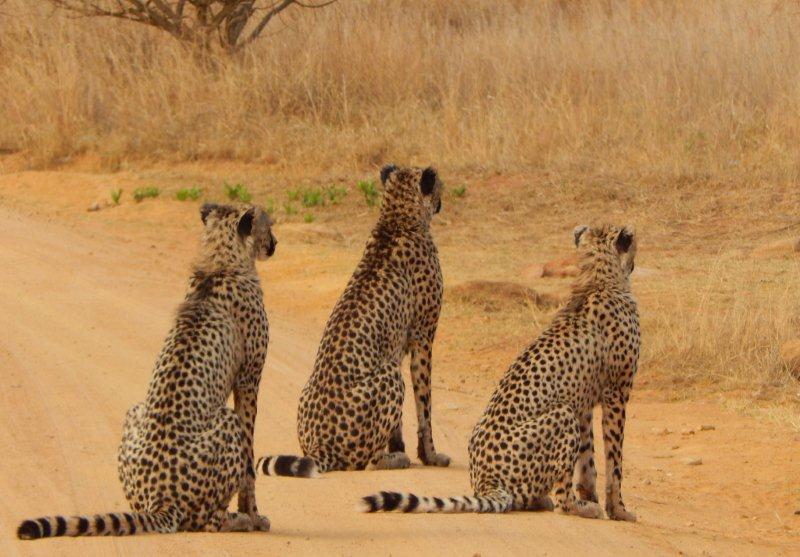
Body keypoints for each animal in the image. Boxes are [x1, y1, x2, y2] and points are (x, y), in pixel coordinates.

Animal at [17, 203, 277, 539]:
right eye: (268, 226)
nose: (274, 244)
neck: (219, 264)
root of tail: (160, 501)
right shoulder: (249, 380)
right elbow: (250, 461)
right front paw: (255, 515)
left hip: (134, 411)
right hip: (225, 424)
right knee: (209, 521)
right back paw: (239, 521)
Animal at [257, 165, 450, 478]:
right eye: (438, 187)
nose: (442, 199)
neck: (397, 218)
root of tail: (321, 448)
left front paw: (401, 446)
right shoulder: (423, 337)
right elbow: (425, 406)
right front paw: (429, 455)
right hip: (390, 375)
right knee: (367, 463)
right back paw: (394, 460)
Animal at [359, 224, 640, 522]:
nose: (634, 259)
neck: (599, 279)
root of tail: (486, 482)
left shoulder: (585, 403)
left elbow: (588, 461)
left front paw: (593, 496)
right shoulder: (616, 394)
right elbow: (614, 462)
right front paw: (618, 509)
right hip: (563, 414)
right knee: (561, 499)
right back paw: (576, 507)